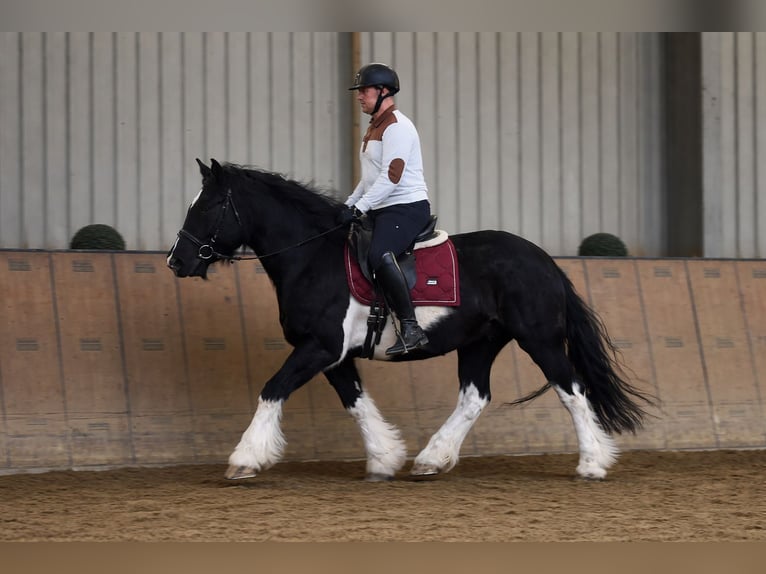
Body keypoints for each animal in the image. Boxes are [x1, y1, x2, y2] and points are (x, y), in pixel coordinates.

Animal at [167, 158, 652, 482]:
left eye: (207, 206)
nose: (177, 261)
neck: (312, 258)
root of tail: (545, 262)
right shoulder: (333, 355)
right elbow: (356, 402)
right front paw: (384, 458)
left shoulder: (319, 348)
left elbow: (272, 389)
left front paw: (245, 458)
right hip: (480, 342)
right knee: (474, 397)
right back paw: (431, 459)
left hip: (540, 340)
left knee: (572, 390)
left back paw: (592, 463)